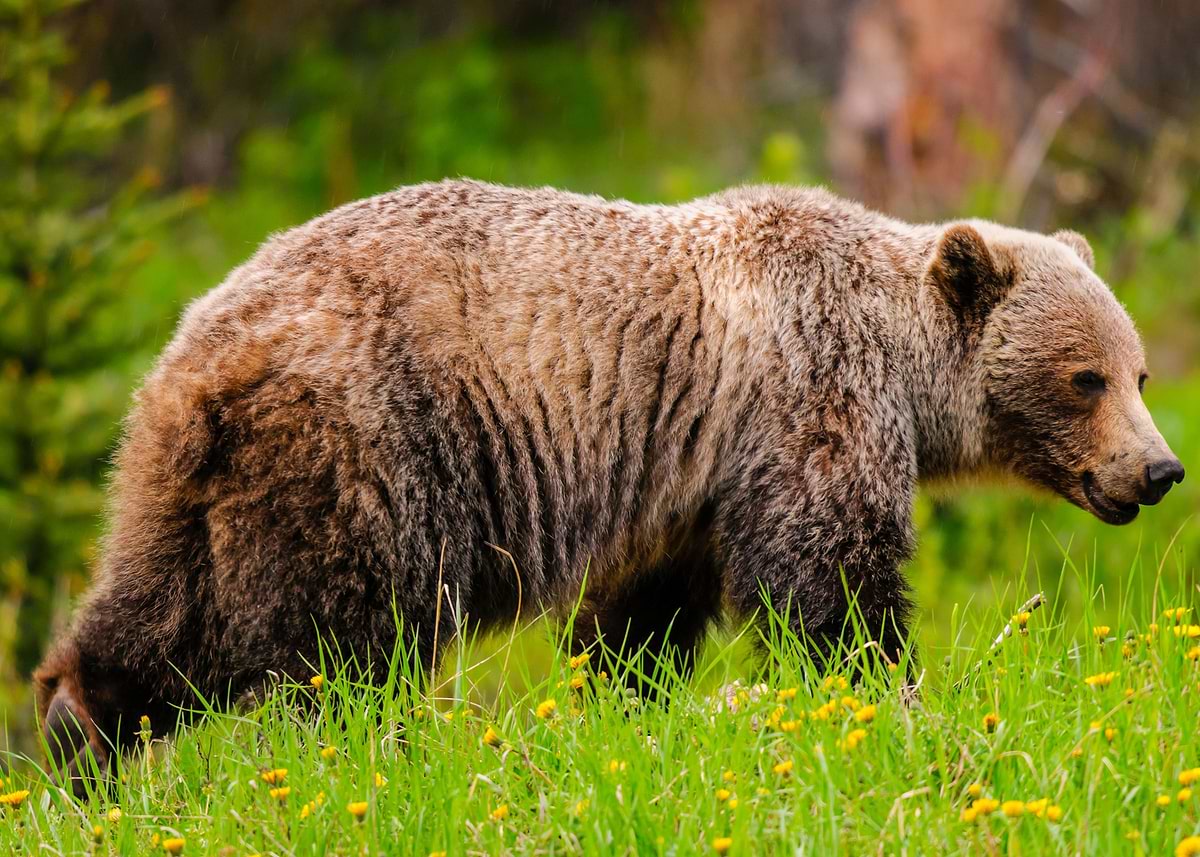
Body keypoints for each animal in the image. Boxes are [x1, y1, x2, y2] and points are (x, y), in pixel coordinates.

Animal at [34, 179, 1183, 792]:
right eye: (1084, 376)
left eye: (1139, 372)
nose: (1160, 468)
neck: (904, 363)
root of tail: (199, 343)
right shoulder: (806, 396)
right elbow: (831, 576)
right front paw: (884, 692)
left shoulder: (683, 484)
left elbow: (640, 618)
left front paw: (627, 705)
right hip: (369, 444)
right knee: (345, 636)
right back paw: (380, 753)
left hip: (196, 477)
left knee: (163, 606)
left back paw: (75, 734)